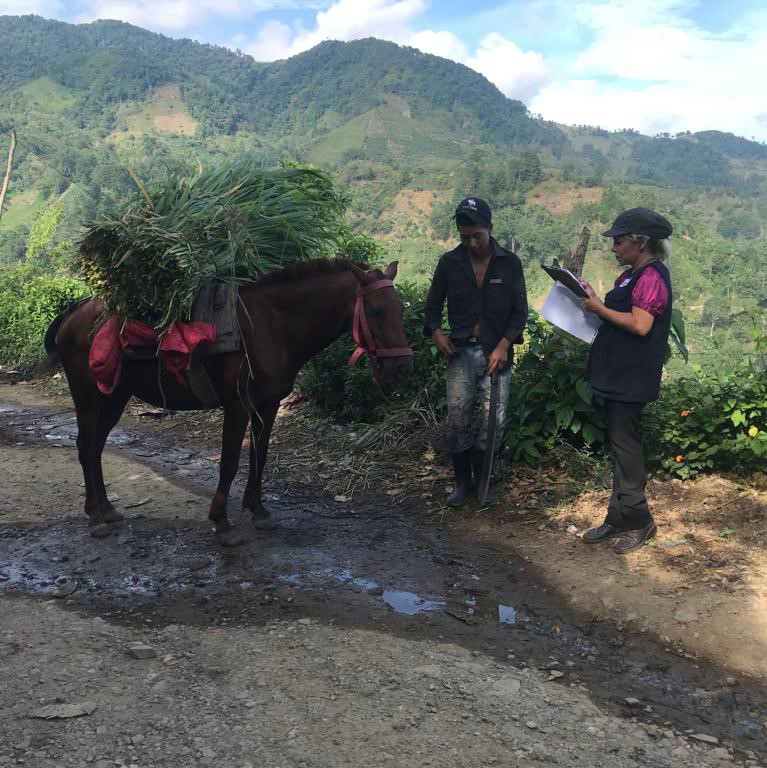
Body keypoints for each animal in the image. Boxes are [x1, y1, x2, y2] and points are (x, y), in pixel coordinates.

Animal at [43, 260, 414, 544]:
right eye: (378, 311)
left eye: (400, 309)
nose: (401, 368)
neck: (273, 326)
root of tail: (74, 311)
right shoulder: (238, 405)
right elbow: (230, 462)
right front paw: (221, 521)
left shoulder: (269, 404)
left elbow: (259, 455)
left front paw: (258, 509)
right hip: (88, 395)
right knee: (85, 446)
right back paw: (94, 517)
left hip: (115, 396)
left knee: (97, 446)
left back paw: (106, 508)